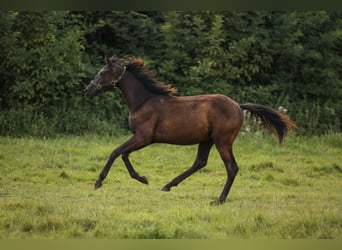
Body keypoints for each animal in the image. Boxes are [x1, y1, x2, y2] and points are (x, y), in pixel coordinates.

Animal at [83, 56, 296, 205]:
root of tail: (238, 106)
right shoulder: (141, 138)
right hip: (207, 140)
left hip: (222, 141)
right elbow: (124, 154)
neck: (142, 101)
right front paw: (143, 178)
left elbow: (116, 152)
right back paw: (168, 185)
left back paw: (218, 200)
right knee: (200, 162)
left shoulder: (143, 137)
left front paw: (99, 182)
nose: (87, 91)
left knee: (231, 167)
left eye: (102, 72)